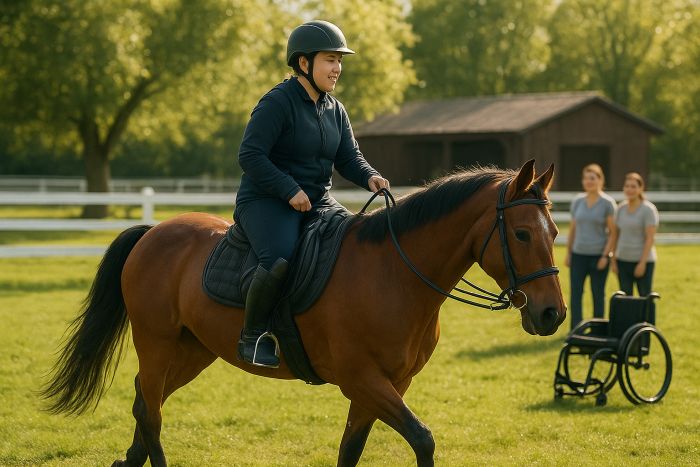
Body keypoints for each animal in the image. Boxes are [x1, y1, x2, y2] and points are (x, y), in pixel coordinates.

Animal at [41, 159, 566, 466]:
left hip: (193, 352)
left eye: (555, 231)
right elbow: (422, 439)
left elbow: (351, 449)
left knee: (142, 401)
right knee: (151, 413)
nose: (552, 315)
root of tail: (153, 232)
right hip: (157, 344)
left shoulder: (389, 385)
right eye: (521, 234)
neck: (394, 273)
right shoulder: (362, 380)